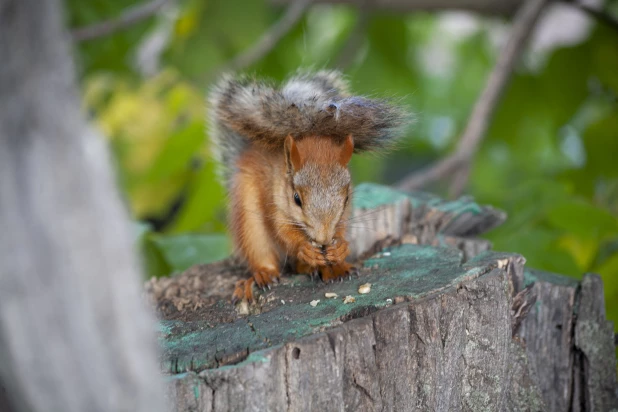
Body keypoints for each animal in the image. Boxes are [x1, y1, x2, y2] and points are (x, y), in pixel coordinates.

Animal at [207, 71, 410, 302]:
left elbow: (341, 228)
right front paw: (305, 248)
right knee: (260, 252)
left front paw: (340, 248)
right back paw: (263, 275)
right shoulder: (275, 200)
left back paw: (330, 268)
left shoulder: (343, 215)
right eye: (296, 199)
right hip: (249, 221)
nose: (323, 240)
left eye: (347, 198)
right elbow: (283, 232)